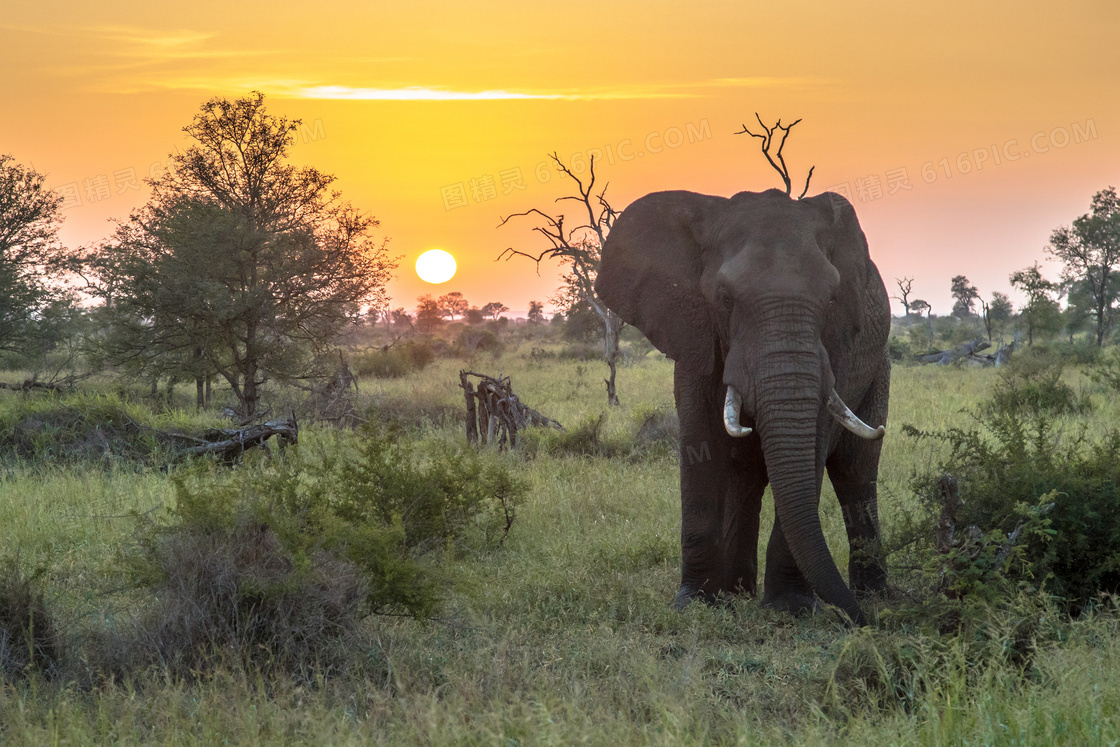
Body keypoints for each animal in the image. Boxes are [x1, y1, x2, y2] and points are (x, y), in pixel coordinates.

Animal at [600, 185, 887, 627]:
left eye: (831, 299)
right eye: (724, 298)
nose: (862, 623)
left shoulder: (837, 352)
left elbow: (814, 446)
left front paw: (790, 609)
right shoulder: (694, 334)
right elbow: (701, 447)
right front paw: (693, 603)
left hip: (878, 366)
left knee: (855, 471)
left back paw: (875, 596)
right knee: (746, 477)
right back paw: (737, 594)